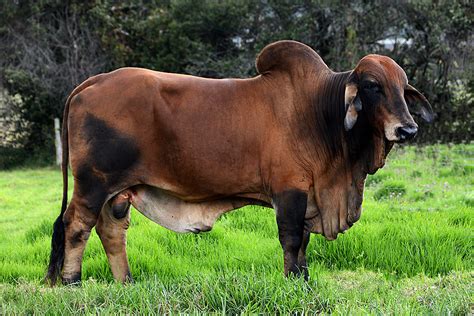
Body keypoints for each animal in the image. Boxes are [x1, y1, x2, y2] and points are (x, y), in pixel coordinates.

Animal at [45, 39, 434, 284]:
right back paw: (72, 282)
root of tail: (92, 82)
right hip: (93, 183)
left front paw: (305, 279)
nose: (407, 129)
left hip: (118, 191)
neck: (319, 113)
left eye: (403, 88)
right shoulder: (289, 191)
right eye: (372, 85)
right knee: (76, 226)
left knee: (111, 231)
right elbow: (291, 239)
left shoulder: (309, 196)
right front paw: (293, 282)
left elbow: (304, 244)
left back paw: (126, 283)